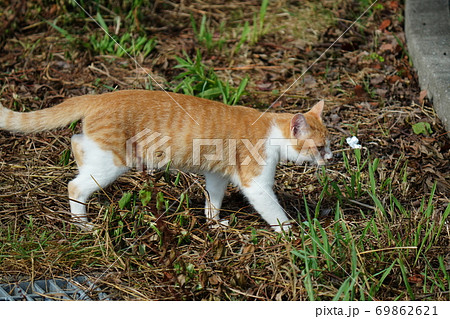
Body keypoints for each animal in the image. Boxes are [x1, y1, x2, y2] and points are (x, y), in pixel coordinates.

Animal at [0, 90, 330, 232]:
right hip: (113, 163)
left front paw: (214, 223)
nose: (330, 157)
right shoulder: (256, 183)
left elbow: (213, 201)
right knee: (75, 187)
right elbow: (274, 211)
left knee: (77, 144)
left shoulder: (217, 175)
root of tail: (99, 96)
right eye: (320, 146)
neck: (271, 129)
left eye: (329, 144)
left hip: (98, 151)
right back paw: (83, 224)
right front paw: (293, 232)